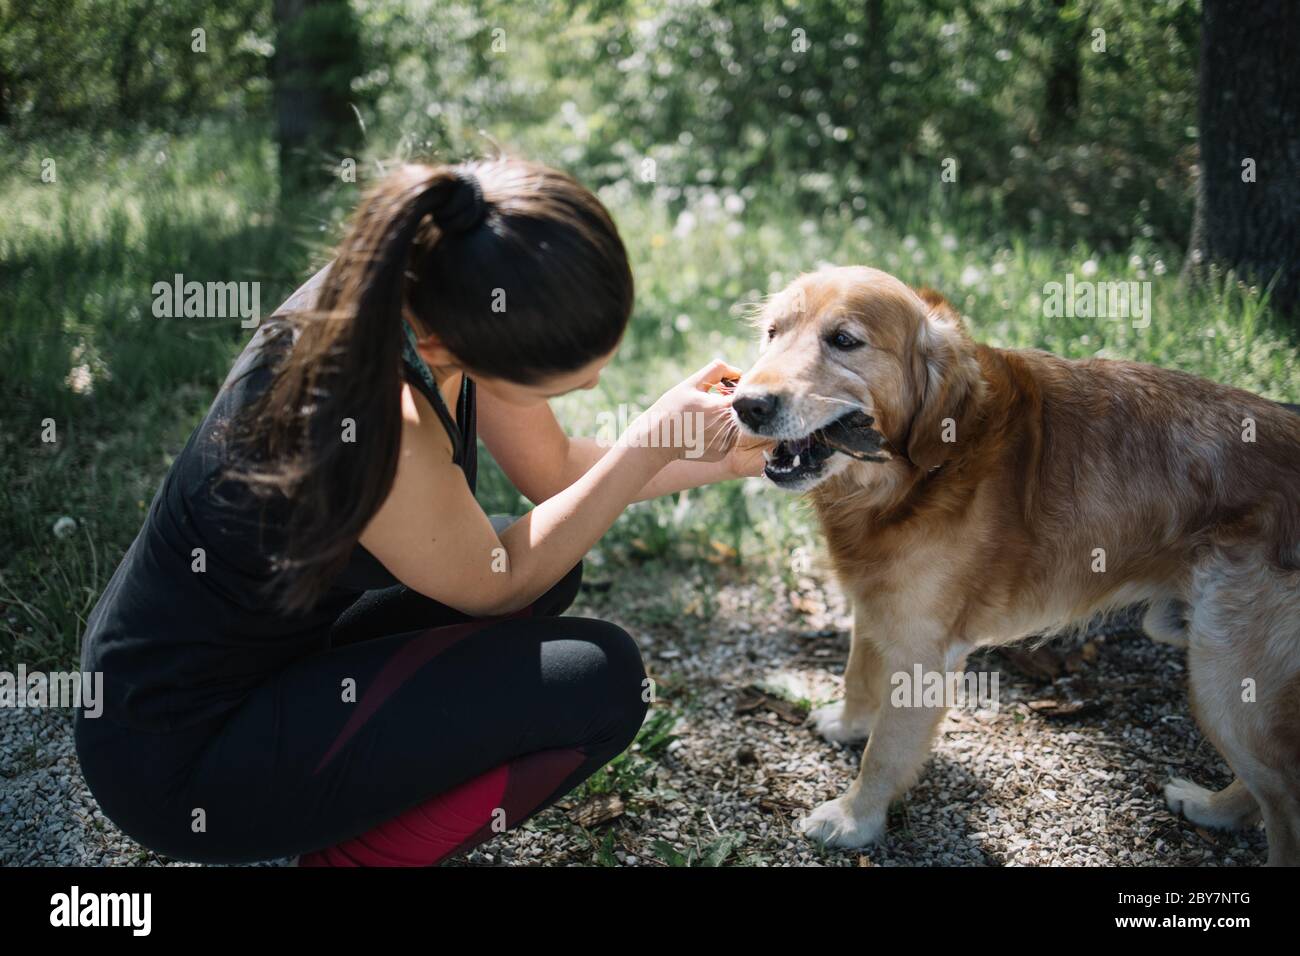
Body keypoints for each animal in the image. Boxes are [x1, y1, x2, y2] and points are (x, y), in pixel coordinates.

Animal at [733, 267, 1300, 868]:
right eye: (772, 332)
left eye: (844, 340)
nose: (746, 404)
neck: (916, 477)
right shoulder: (877, 605)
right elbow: (858, 674)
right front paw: (848, 726)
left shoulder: (924, 654)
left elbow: (884, 752)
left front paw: (854, 818)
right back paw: (1212, 808)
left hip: (1222, 678)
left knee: (1286, 799)